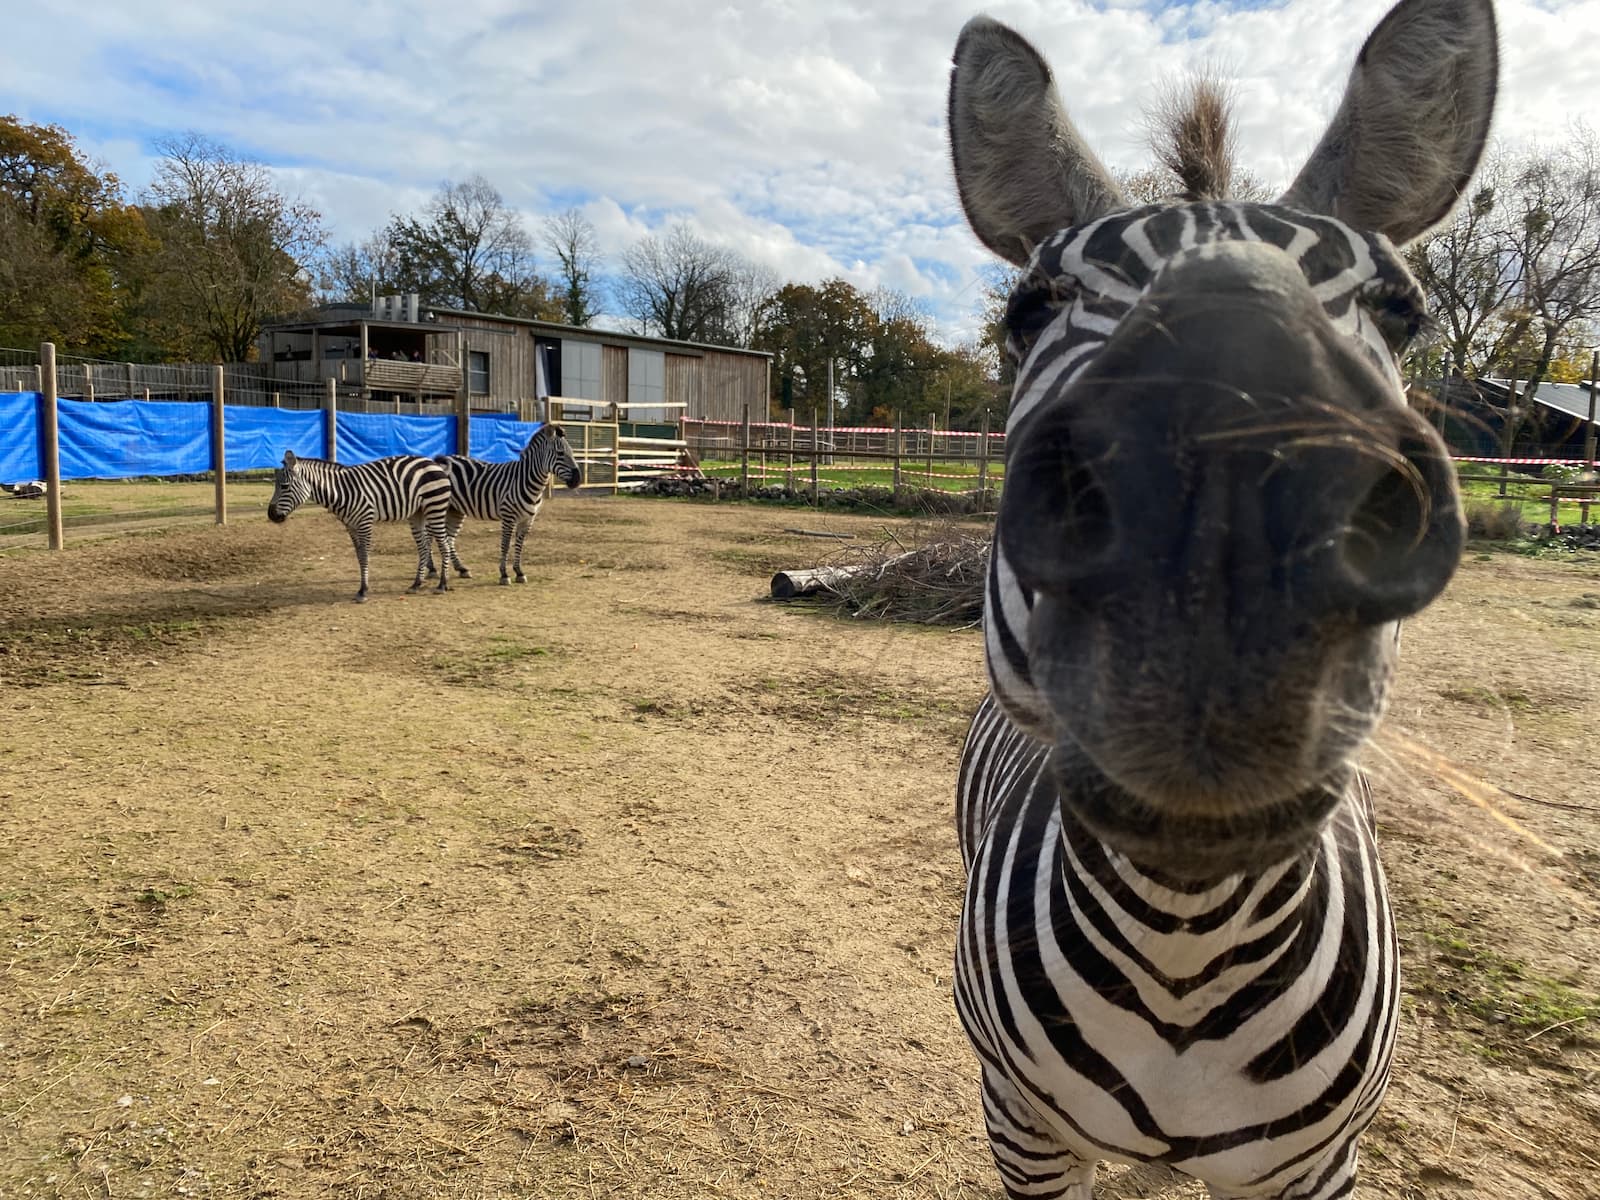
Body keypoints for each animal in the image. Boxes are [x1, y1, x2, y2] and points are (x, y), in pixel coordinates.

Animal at [267, 450, 454, 603]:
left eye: (284, 486)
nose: (271, 515)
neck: (341, 491)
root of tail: (432, 462)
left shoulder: (365, 522)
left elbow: (364, 556)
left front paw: (363, 591)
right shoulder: (351, 526)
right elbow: (358, 556)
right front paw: (362, 588)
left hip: (435, 507)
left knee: (444, 545)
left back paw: (442, 585)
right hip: (417, 513)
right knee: (423, 547)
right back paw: (416, 584)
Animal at [428, 424, 582, 585]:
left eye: (572, 453)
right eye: (560, 453)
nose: (578, 479)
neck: (526, 480)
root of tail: (439, 461)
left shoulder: (528, 519)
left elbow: (520, 544)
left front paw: (519, 572)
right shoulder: (508, 516)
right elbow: (506, 544)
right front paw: (504, 574)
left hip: (455, 509)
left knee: (449, 538)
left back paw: (461, 568)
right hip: (437, 505)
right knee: (430, 535)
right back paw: (432, 569)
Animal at [945, 0, 1495, 1196]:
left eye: (1402, 310)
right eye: (1029, 308)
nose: (1218, 553)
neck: (1182, 944)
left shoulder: (1319, 1166)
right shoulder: (1019, 1129)